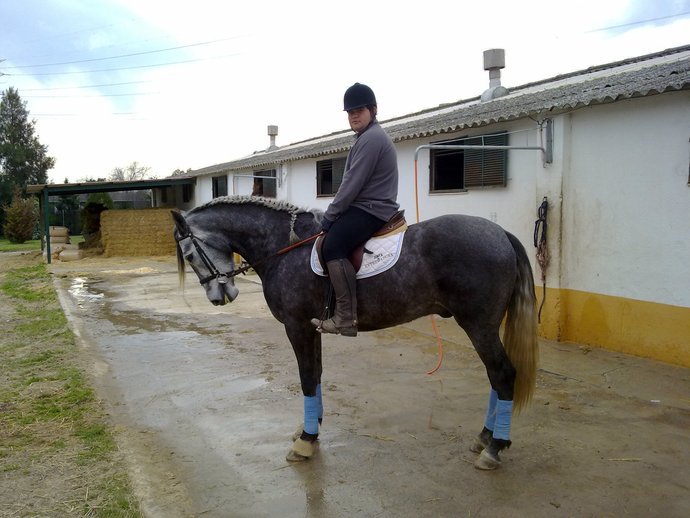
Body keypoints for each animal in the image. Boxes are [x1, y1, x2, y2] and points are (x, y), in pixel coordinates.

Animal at [172, 195, 536, 472]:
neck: (285, 248)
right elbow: (316, 374)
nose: (218, 297)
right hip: (485, 324)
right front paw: (312, 428)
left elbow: (306, 378)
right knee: (495, 376)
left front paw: (306, 442)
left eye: (189, 254)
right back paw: (485, 438)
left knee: (502, 374)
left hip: (478, 323)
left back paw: (495, 447)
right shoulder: (311, 327)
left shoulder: (296, 326)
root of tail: (500, 233)